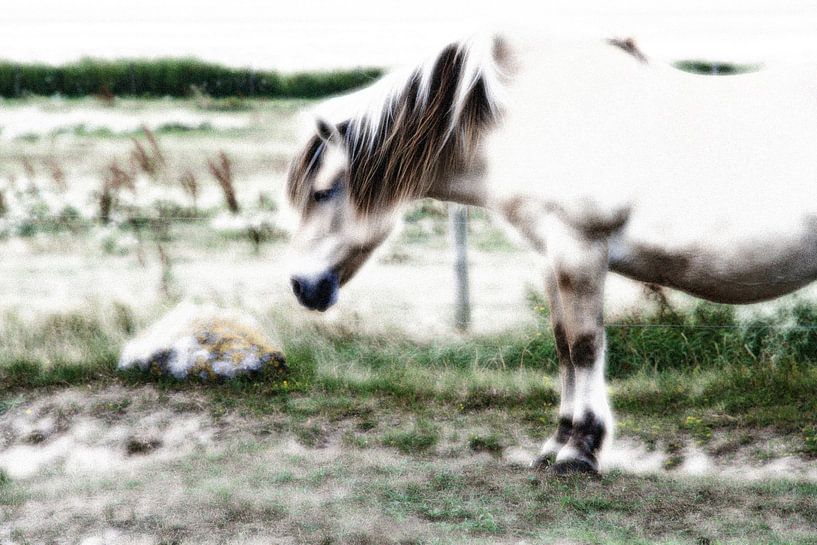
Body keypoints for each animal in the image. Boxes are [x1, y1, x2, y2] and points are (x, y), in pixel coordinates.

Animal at [284, 30, 817, 474]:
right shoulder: (550, 257)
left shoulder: (579, 249)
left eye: (323, 192)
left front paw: (581, 451)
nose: (302, 286)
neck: (536, 121)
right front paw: (556, 444)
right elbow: (562, 346)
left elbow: (584, 346)